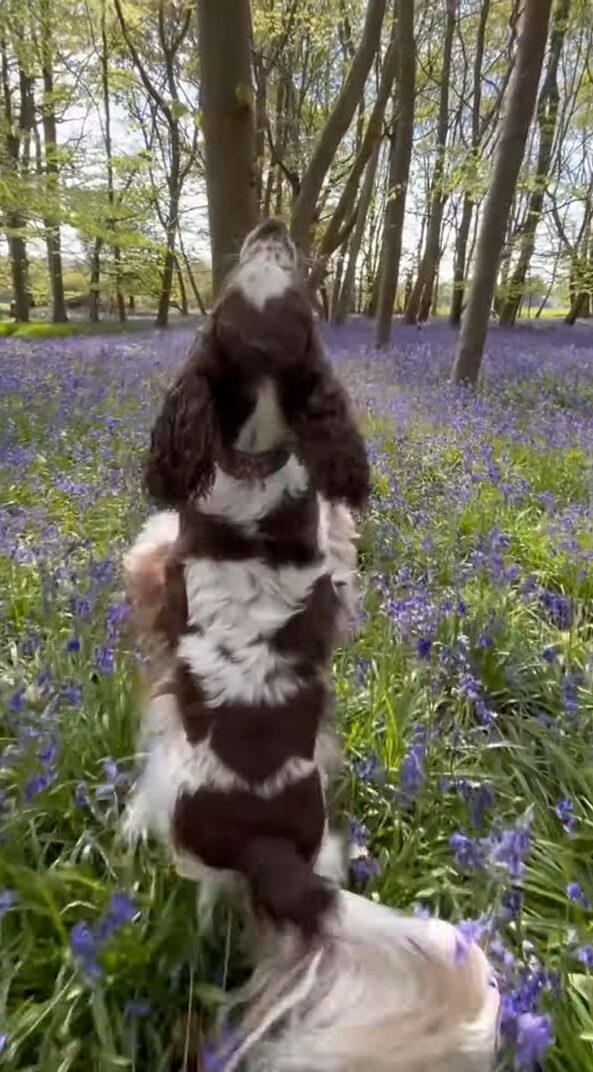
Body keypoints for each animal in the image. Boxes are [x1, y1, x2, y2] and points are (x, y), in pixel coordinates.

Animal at [123, 219, 366, 939]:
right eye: (233, 295)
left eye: (296, 293)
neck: (256, 456)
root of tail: (264, 843)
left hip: (170, 777)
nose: (271, 226)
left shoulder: (160, 559)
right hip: (321, 847)